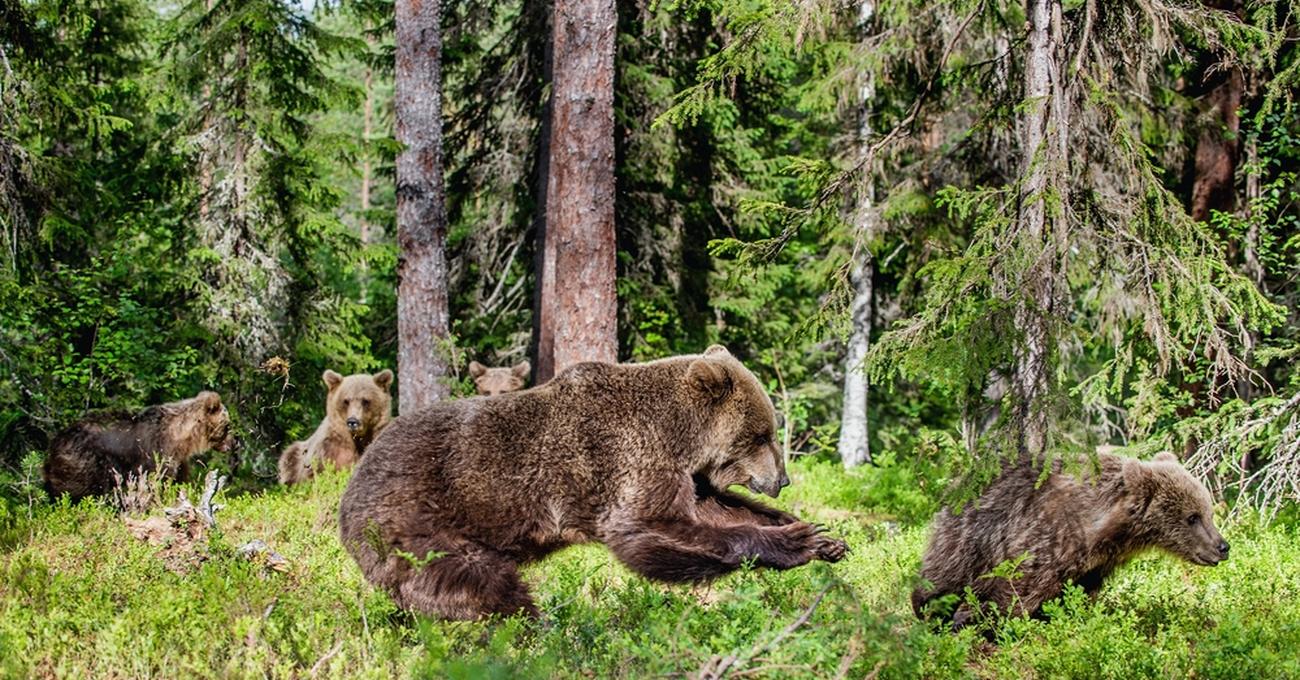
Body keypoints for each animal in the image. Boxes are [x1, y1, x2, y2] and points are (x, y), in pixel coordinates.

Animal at [44, 390, 233, 501]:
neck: (183, 439)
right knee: (79, 492)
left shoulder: (178, 460)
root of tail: (55, 442)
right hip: (85, 464)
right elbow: (158, 481)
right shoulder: (158, 453)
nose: (235, 442)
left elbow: (178, 480)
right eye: (228, 426)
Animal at [338, 345, 848, 620]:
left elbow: (716, 508)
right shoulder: (626, 459)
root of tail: (348, 494)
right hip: (420, 523)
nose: (782, 479)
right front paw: (798, 543)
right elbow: (651, 530)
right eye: (762, 434)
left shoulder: (682, 474)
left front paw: (822, 536)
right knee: (481, 587)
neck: (678, 434)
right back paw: (531, 630)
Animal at [911, 451, 1229, 630]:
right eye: (1193, 517)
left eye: (1208, 511)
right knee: (945, 572)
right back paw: (931, 607)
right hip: (971, 533)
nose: (1223, 547)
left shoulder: (1096, 563)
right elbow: (1017, 586)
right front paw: (982, 620)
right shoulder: (1049, 537)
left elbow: (1078, 592)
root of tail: (958, 480)